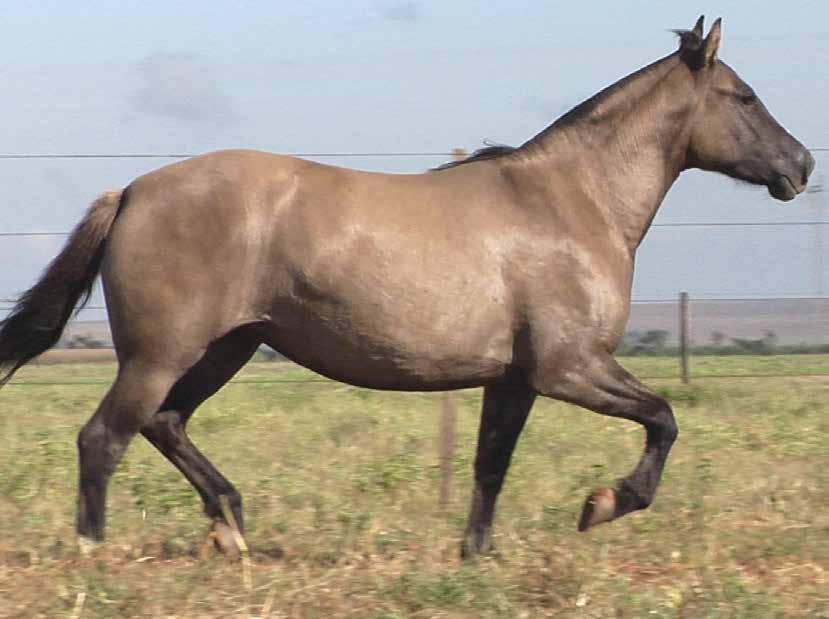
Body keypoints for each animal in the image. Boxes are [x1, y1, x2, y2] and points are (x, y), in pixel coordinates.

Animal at [0, 15, 816, 556]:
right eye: (744, 97)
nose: (801, 165)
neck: (571, 200)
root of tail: (132, 191)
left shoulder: (513, 377)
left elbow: (490, 467)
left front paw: (474, 559)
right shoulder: (569, 366)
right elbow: (663, 418)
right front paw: (602, 503)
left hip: (224, 349)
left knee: (165, 424)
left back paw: (233, 532)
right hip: (160, 353)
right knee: (105, 438)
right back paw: (95, 555)